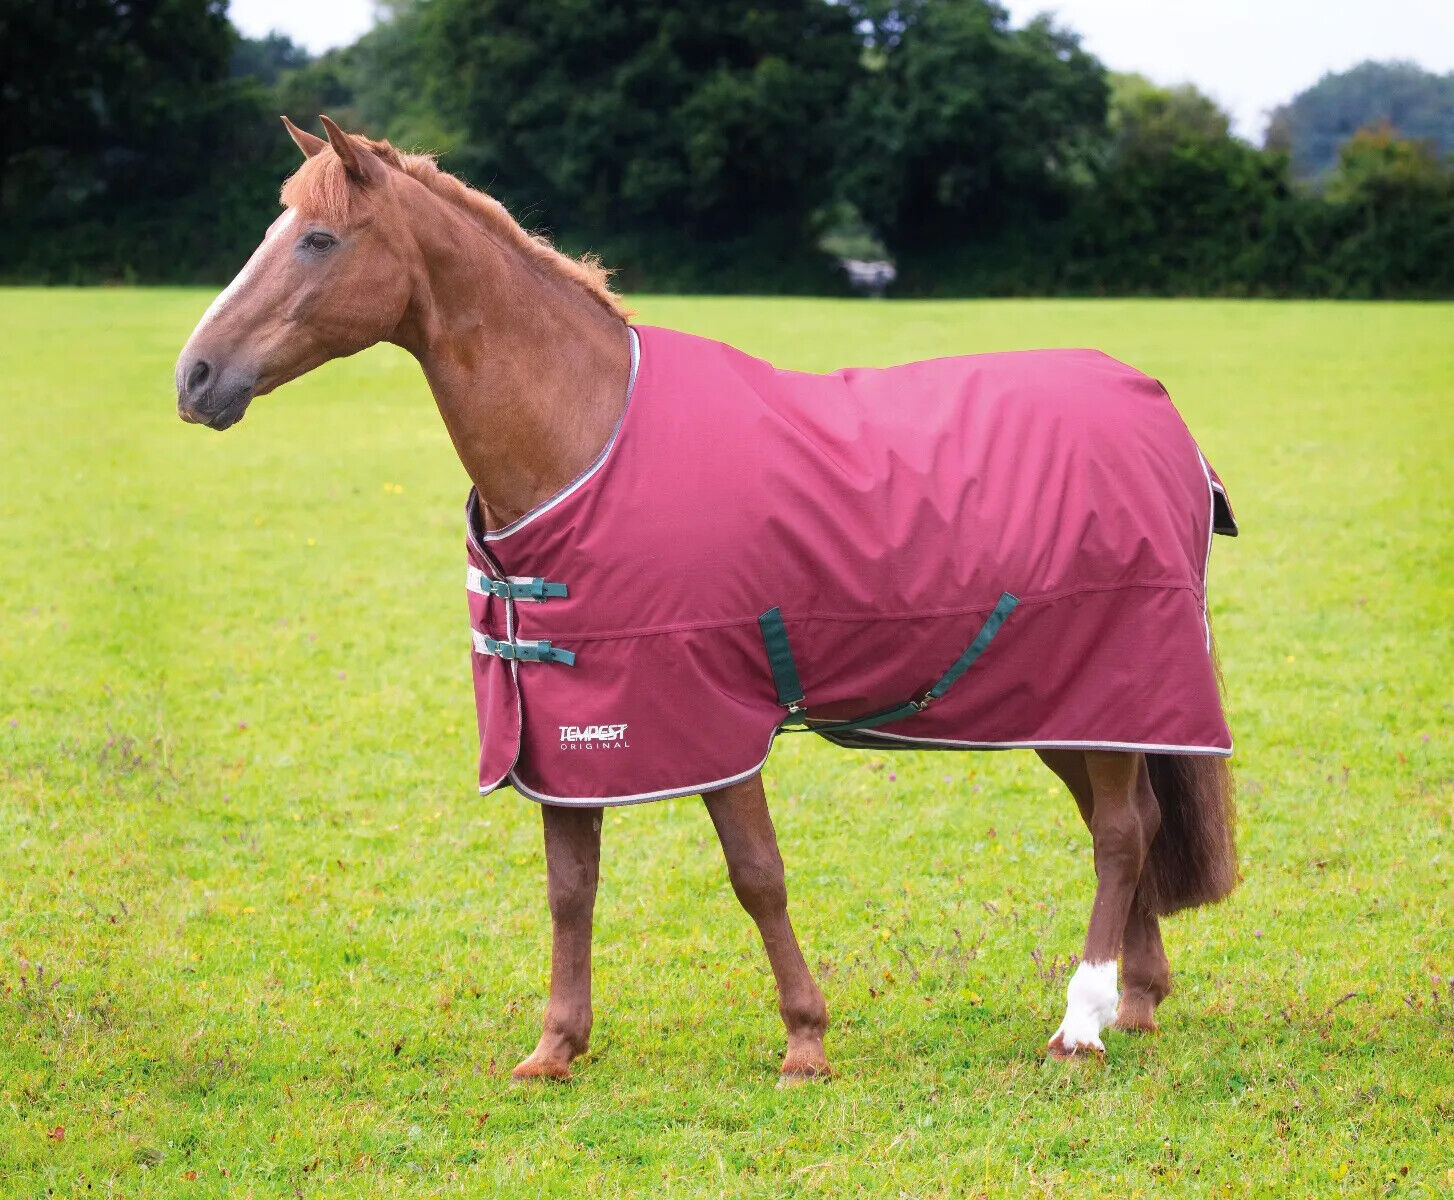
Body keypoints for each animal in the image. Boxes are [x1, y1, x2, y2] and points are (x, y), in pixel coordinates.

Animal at [175, 116, 1238, 1082]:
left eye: (318, 239)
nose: (194, 377)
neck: (587, 437)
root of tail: (1167, 421)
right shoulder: (567, 737)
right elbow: (570, 887)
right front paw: (556, 1048)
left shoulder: (716, 715)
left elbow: (756, 876)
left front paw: (805, 1040)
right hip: (1063, 704)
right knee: (1133, 825)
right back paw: (1135, 999)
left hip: (1110, 683)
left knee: (1118, 836)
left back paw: (1081, 1024)